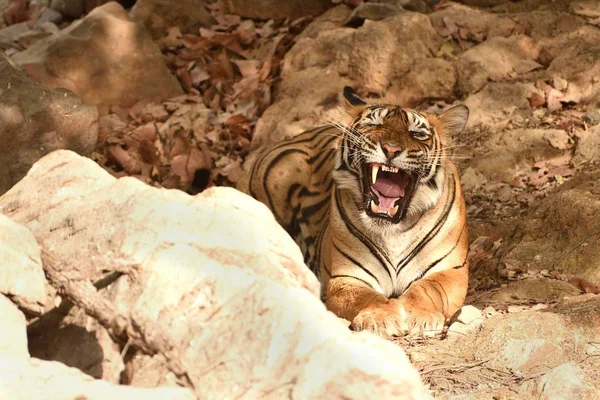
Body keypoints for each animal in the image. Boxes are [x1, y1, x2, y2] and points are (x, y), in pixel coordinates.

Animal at [237, 87, 472, 338]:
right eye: (374, 124)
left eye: (417, 134)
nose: (391, 149)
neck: (393, 231)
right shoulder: (348, 276)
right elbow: (365, 297)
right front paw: (380, 317)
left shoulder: (451, 270)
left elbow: (427, 289)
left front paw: (422, 316)